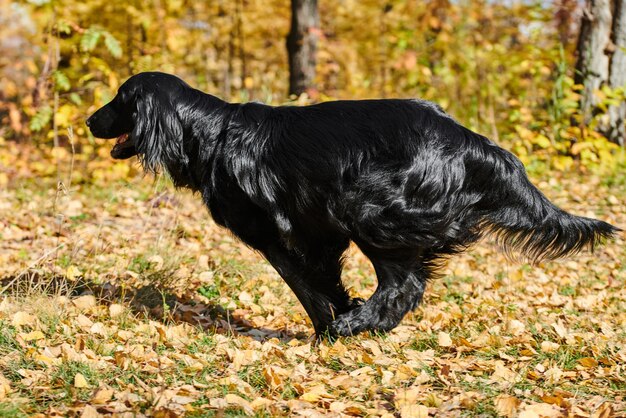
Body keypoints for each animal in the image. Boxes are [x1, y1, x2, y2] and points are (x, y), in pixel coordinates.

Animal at [85, 72, 616, 338]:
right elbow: (319, 279)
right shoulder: (317, 233)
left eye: (119, 98)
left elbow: (302, 283)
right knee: (410, 283)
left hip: (368, 207)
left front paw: (331, 324)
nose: (89, 120)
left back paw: (357, 325)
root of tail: (472, 141)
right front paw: (337, 312)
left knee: (404, 285)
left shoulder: (277, 232)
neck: (209, 134)